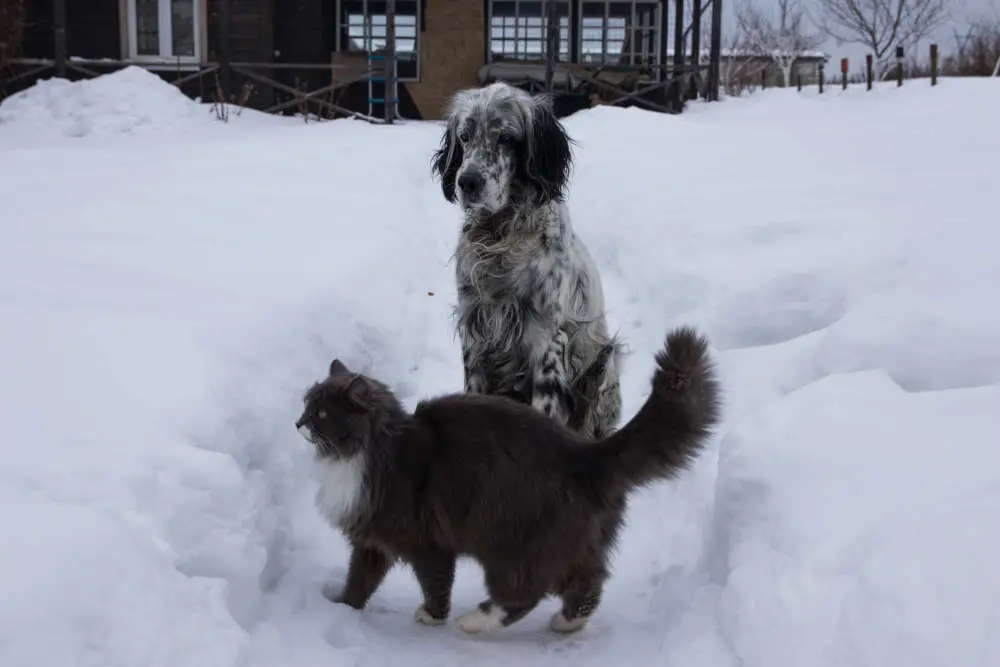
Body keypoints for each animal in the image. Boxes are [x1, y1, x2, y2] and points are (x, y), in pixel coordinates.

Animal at [292, 328, 724, 636]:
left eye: (323, 413)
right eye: (307, 405)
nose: (297, 423)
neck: (368, 451)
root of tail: (587, 453)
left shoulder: (426, 540)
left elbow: (435, 582)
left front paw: (432, 616)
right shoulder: (371, 542)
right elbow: (360, 579)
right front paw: (342, 606)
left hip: (513, 543)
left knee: (522, 595)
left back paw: (475, 622)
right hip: (572, 545)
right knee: (589, 583)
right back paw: (567, 623)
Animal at [432, 81, 624, 440]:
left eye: (507, 138)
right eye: (464, 137)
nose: (467, 182)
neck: (500, 238)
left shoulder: (545, 338)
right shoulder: (475, 332)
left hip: (605, 360)